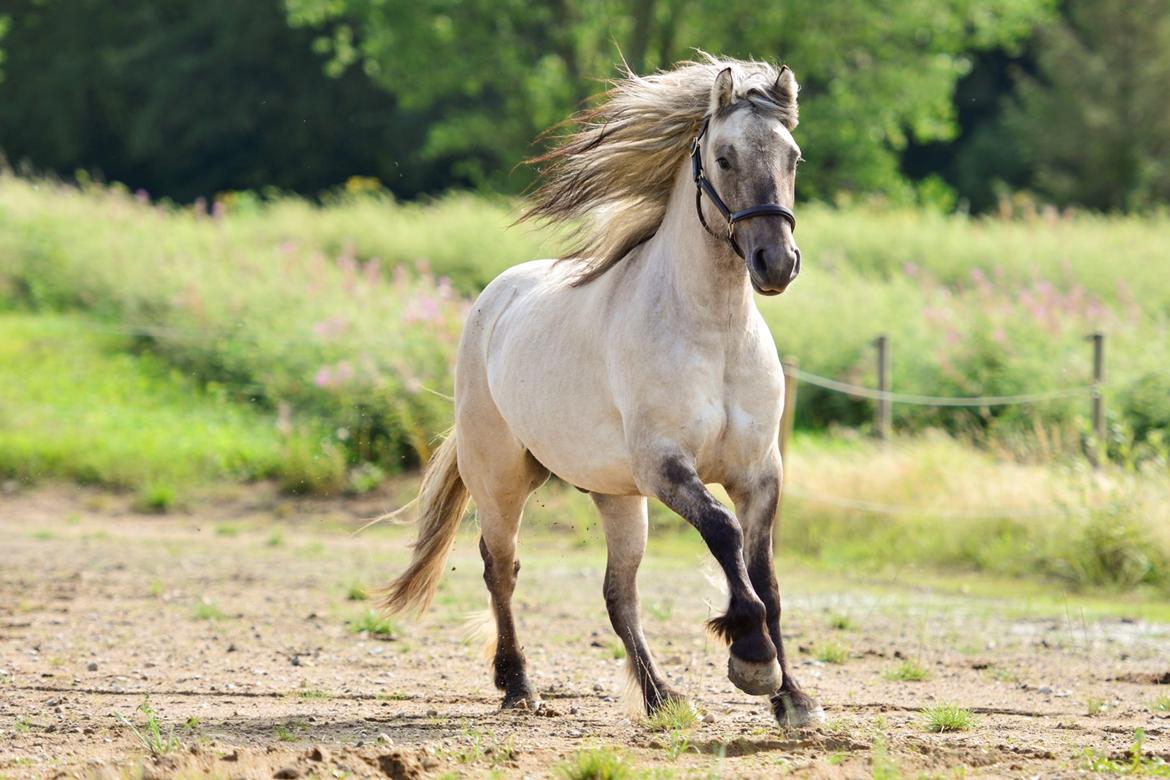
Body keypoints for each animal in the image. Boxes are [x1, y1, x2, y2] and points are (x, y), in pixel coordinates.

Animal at [383, 56, 823, 734]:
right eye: (724, 158)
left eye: (793, 157)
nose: (775, 262)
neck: (713, 334)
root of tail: (494, 300)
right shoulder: (666, 467)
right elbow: (724, 535)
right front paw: (751, 659)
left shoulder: (758, 473)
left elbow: (766, 577)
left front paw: (792, 697)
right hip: (501, 478)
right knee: (501, 569)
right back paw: (518, 685)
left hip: (616, 496)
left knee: (619, 595)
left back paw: (662, 696)